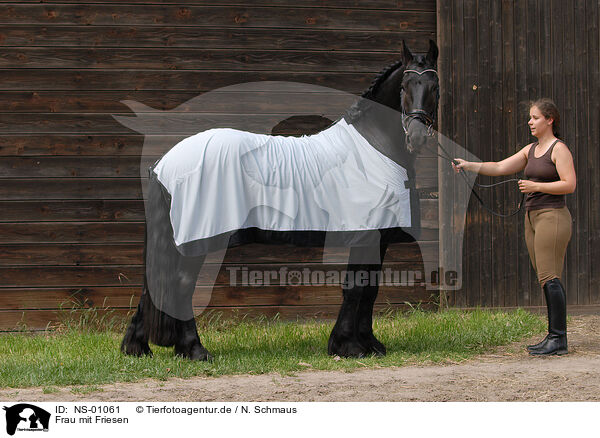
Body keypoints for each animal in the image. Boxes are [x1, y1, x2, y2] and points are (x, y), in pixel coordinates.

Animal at [122, 40, 440, 360]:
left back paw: (138, 347)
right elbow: (356, 288)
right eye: (404, 86)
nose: (416, 136)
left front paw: (369, 343)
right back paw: (195, 349)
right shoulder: (367, 234)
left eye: (434, 86)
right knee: (182, 285)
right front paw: (348, 345)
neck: (373, 147)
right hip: (194, 238)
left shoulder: (379, 238)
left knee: (155, 289)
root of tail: (164, 163)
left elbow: (370, 289)